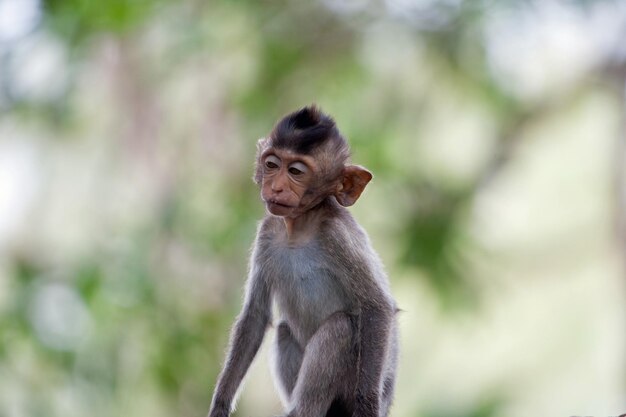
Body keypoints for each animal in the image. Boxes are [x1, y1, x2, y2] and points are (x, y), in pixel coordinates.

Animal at [207, 105, 398, 416]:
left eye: (295, 171)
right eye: (272, 164)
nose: (276, 188)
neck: (299, 228)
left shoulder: (337, 236)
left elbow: (377, 307)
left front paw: (367, 405)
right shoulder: (267, 232)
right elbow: (255, 316)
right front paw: (220, 405)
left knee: (340, 327)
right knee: (285, 329)